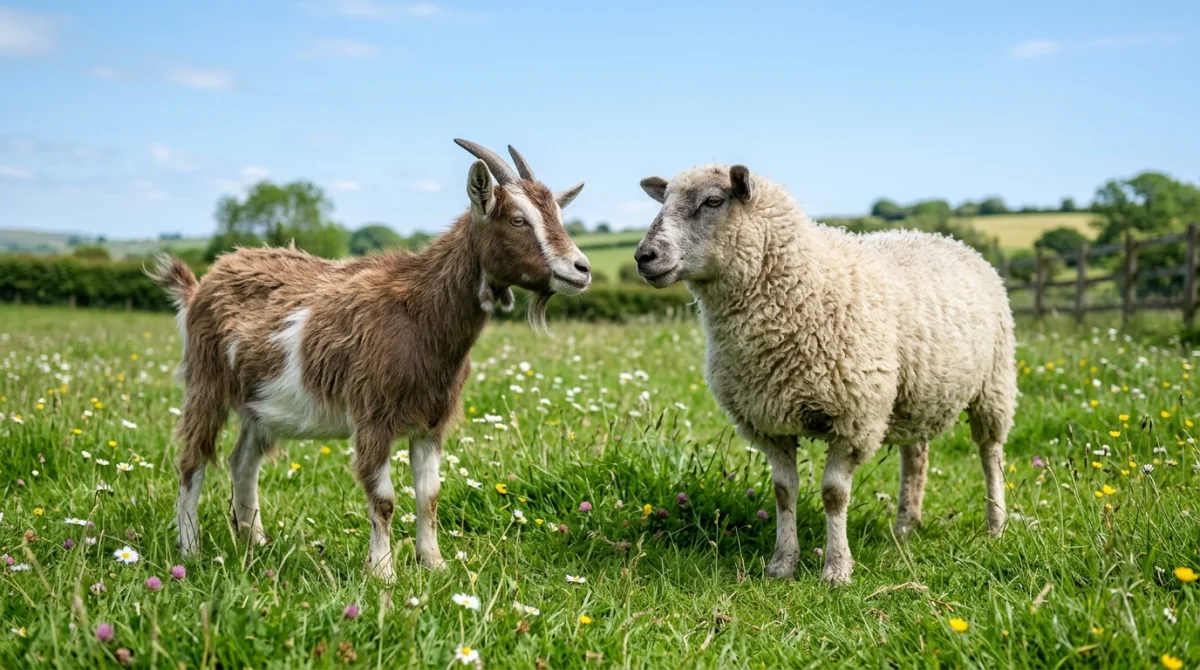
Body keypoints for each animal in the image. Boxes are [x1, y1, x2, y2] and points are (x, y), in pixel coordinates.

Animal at [147, 139, 591, 580]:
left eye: (557, 216)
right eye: (517, 220)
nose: (581, 268)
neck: (419, 313)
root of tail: (202, 285)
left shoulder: (432, 421)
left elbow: (429, 495)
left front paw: (434, 564)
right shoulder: (372, 418)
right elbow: (384, 498)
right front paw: (383, 572)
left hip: (260, 403)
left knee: (242, 462)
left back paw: (255, 541)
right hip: (206, 380)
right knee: (192, 459)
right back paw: (190, 549)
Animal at [633, 164, 1016, 585]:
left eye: (714, 201)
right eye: (664, 200)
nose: (643, 256)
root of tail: (944, 238)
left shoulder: (855, 417)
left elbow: (834, 495)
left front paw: (836, 569)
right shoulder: (769, 421)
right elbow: (783, 491)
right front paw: (782, 564)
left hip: (994, 384)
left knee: (991, 454)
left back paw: (996, 525)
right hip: (913, 394)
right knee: (915, 455)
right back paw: (905, 525)